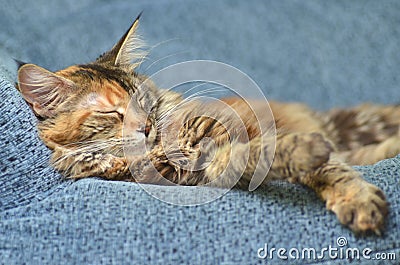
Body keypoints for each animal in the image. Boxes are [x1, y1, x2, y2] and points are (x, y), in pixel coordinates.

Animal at [14, 14, 394, 233]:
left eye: (143, 101)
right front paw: (309, 155)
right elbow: (264, 156)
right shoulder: (205, 169)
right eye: (111, 114)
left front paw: (357, 200)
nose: (147, 126)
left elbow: (329, 168)